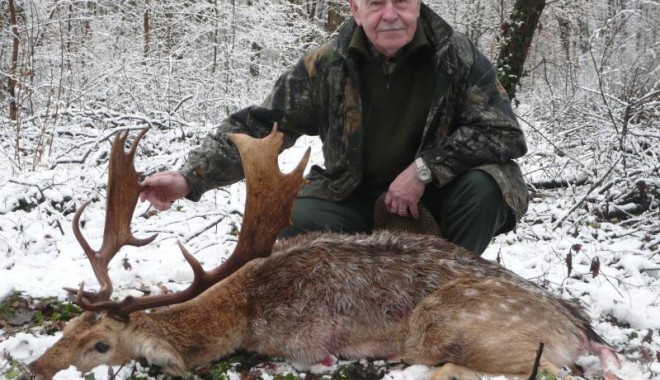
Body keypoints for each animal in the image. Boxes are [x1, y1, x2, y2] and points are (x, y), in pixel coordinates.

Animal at [28, 126, 620, 378]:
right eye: (67, 329)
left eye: (102, 345)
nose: (34, 368)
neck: (245, 307)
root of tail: (581, 329)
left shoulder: (303, 342)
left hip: (452, 323)